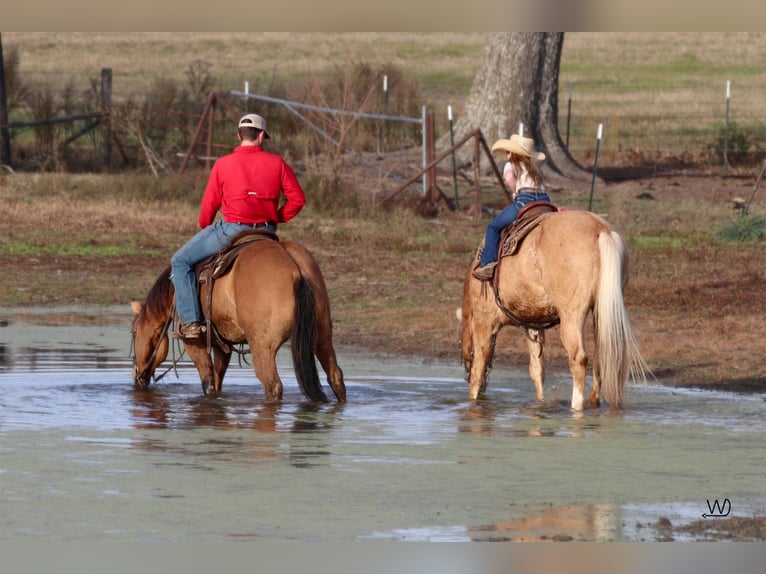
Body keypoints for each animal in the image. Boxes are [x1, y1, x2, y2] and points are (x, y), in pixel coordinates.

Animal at [130, 234, 346, 404]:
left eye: (133, 333)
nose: (136, 375)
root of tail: (293, 264)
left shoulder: (194, 344)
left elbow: (208, 383)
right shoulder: (221, 346)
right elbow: (217, 381)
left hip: (263, 347)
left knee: (272, 385)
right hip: (321, 336)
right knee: (335, 376)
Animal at [460, 209, 652, 412]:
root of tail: (602, 230)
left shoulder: (484, 322)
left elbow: (478, 368)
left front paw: (473, 401)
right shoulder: (532, 325)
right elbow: (537, 370)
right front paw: (539, 403)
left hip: (571, 317)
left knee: (579, 359)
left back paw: (576, 406)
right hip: (601, 314)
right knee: (601, 359)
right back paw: (593, 402)